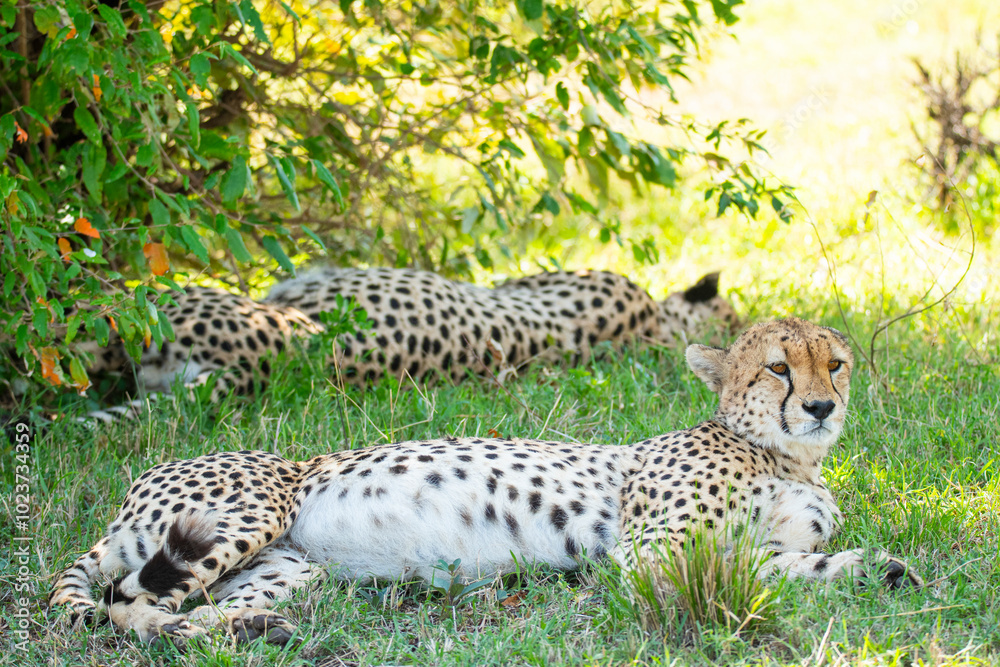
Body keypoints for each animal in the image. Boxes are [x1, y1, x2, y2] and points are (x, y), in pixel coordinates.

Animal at [49, 317, 921, 645]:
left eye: (835, 362)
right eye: (779, 366)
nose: (821, 405)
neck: (785, 456)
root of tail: (134, 487)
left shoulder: (746, 544)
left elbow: (791, 564)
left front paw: (877, 568)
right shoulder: (649, 550)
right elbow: (727, 573)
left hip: (288, 568)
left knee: (181, 610)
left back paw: (253, 629)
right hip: (244, 510)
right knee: (125, 605)